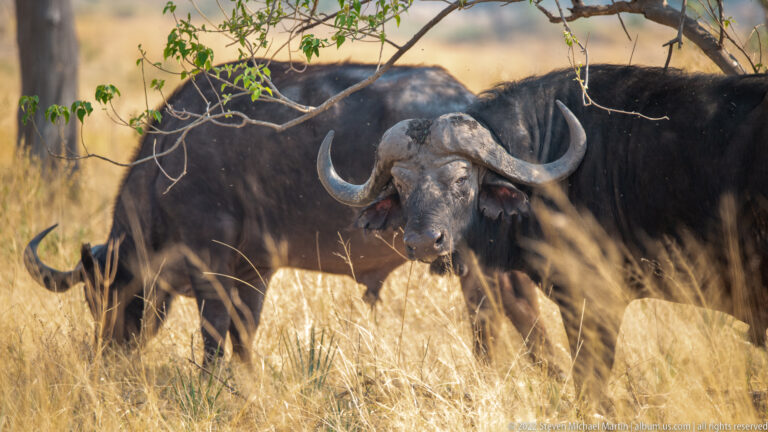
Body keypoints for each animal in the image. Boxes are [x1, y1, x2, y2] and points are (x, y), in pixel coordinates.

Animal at [25, 60, 474, 363]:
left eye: (104, 293)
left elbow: (213, 335)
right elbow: (243, 336)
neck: (165, 170)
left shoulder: (209, 267)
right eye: (92, 297)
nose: (109, 351)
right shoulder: (255, 270)